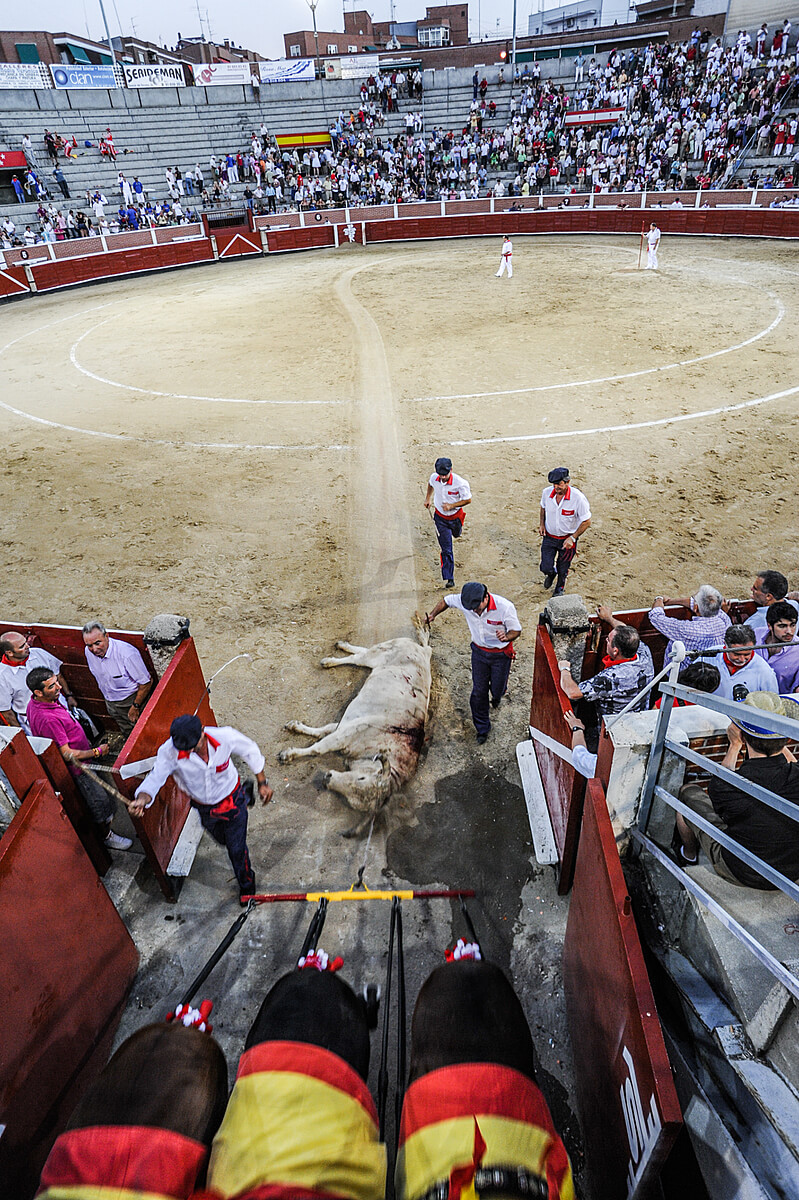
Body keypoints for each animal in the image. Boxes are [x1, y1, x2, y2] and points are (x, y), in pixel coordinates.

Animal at [278, 628, 429, 835]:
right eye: (361, 777)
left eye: (352, 800)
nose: (327, 778)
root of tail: (423, 651)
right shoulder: (347, 733)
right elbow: (318, 747)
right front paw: (288, 754)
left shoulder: (344, 726)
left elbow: (321, 732)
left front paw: (295, 727)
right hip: (380, 653)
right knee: (358, 657)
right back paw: (330, 659)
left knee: (361, 653)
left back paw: (341, 647)